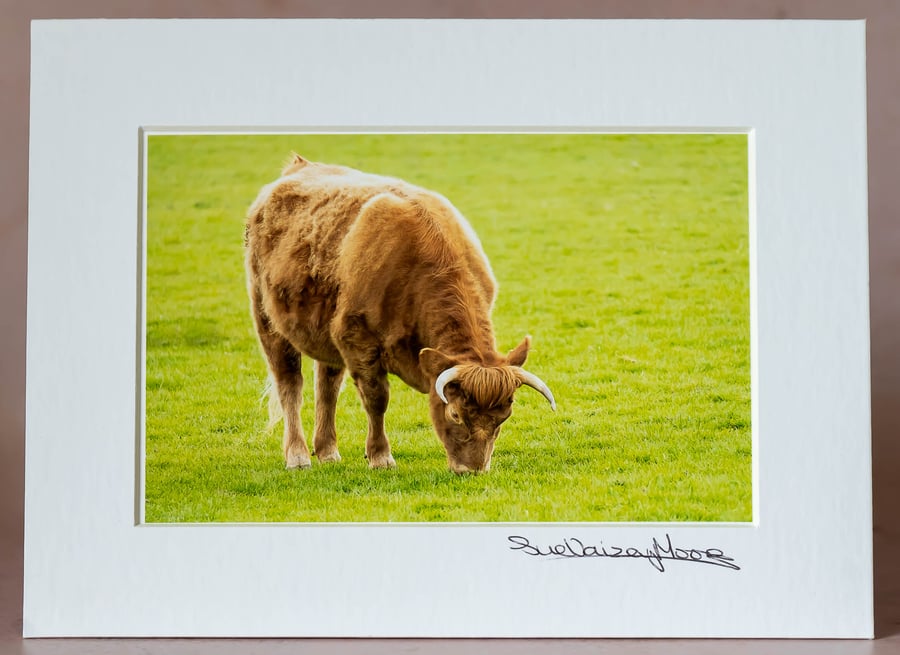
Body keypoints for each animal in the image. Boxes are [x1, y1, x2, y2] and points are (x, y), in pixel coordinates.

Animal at [244, 153, 555, 474]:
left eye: (503, 418)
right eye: (455, 415)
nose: (473, 469)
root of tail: (299, 166)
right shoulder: (357, 340)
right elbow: (377, 399)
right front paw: (380, 456)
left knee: (327, 386)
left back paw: (328, 450)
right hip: (268, 320)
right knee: (290, 384)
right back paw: (298, 456)